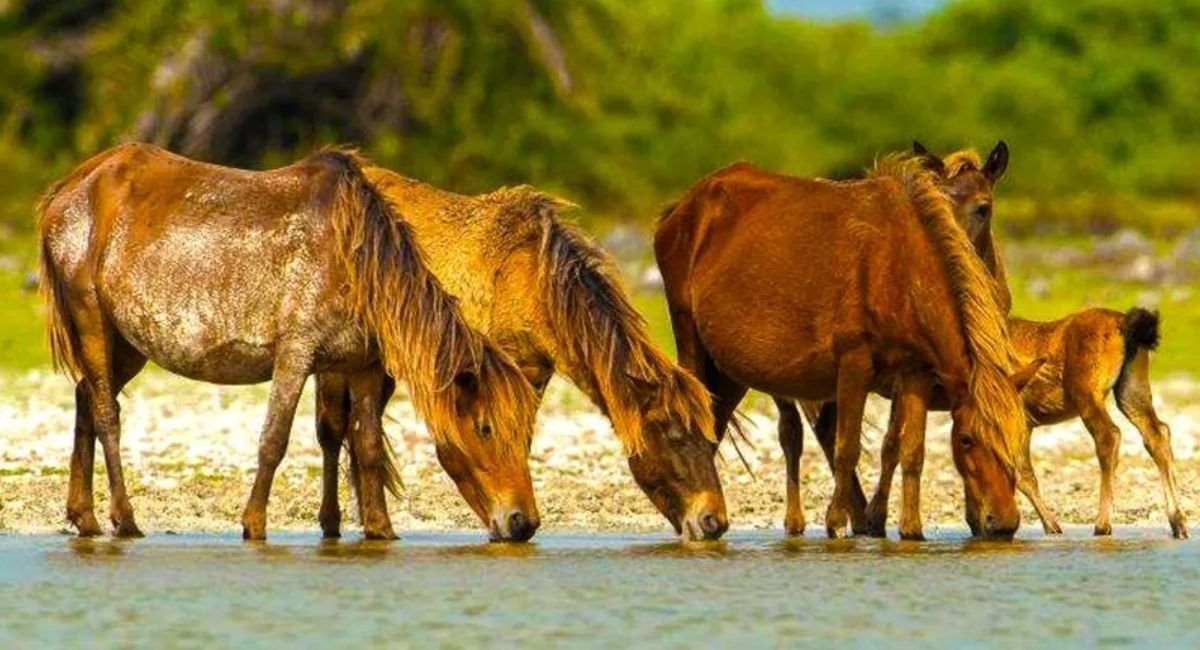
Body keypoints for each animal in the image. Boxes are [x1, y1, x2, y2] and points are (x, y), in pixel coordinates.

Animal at [36, 143, 540, 544]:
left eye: (524, 434)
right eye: (485, 429)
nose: (524, 522)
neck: (355, 258)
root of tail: (71, 188)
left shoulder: (363, 366)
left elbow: (368, 446)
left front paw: (381, 529)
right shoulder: (295, 356)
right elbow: (274, 440)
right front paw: (254, 523)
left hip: (128, 344)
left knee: (85, 397)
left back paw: (85, 518)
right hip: (92, 322)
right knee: (107, 415)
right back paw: (125, 519)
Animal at [319, 170, 724, 542]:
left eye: (711, 440)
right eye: (674, 436)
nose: (714, 521)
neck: (528, 281)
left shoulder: (531, 374)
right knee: (333, 430)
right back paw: (333, 524)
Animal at [652, 152, 1046, 539]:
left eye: (1017, 438)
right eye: (966, 440)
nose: (1004, 522)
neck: (901, 269)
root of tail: (681, 207)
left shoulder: (916, 371)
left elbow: (912, 449)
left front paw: (911, 529)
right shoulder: (855, 363)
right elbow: (848, 447)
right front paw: (837, 521)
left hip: (732, 369)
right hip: (692, 340)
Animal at [864, 143, 1180, 539]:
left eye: (984, 207)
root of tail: (1127, 324)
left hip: (1089, 394)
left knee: (1110, 437)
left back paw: (1103, 524)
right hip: (1132, 391)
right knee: (1157, 434)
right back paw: (1177, 522)